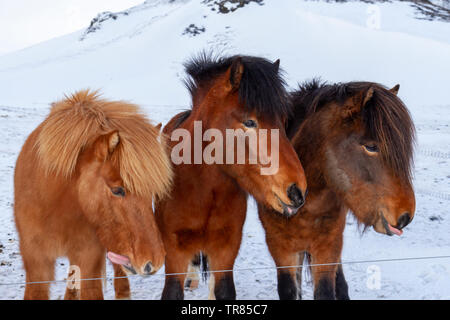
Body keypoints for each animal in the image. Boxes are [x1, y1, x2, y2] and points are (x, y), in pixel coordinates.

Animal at [152, 53, 310, 302]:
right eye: (249, 122)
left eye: (283, 121)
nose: (297, 191)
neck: (201, 190)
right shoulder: (174, 251)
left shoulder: (225, 250)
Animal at [258, 80, 416, 300]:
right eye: (371, 147)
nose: (405, 216)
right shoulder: (280, 248)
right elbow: (290, 289)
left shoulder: (328, 245)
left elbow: (326, 289)